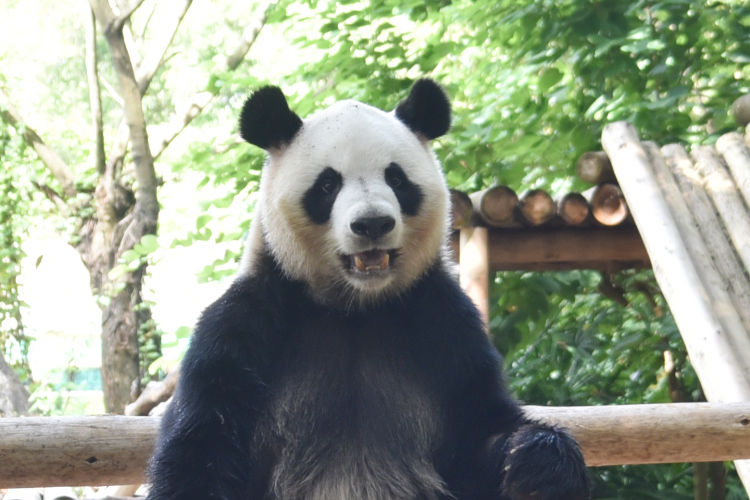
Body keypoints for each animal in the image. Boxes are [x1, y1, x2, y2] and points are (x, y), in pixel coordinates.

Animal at [148, 79, 592, 500]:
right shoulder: (250, 320)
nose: (373, 223)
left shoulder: (443, 321)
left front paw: (540, 461)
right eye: (327, 184)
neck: (355, 306)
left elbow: (482, 424)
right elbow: (204, 443)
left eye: (396, 178)